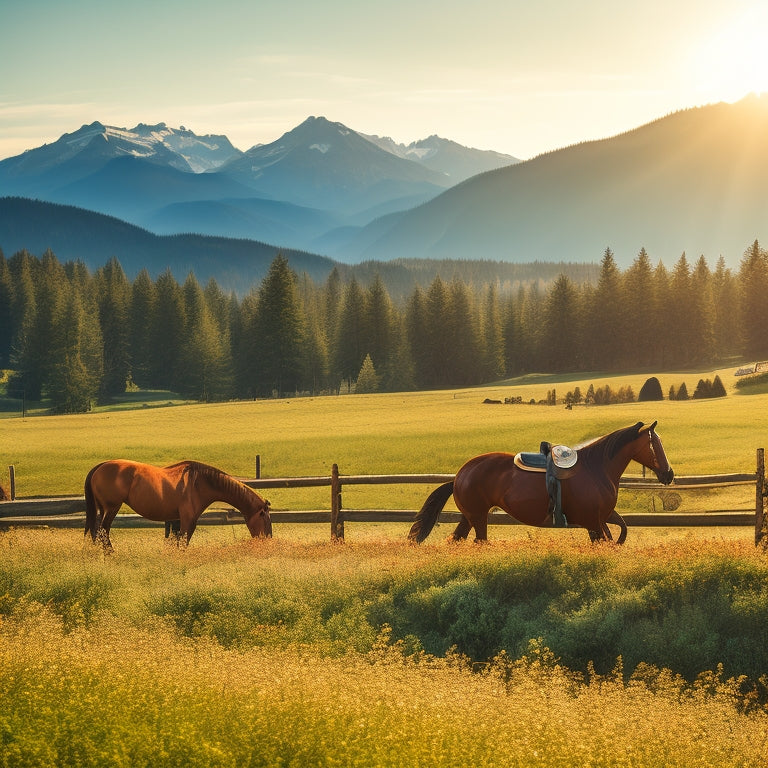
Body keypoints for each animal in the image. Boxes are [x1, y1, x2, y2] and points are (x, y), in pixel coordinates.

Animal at [83, 460, 270, 548]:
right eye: (265, 519)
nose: (267, 539)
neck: (200, 482)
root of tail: (100, 467)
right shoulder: (188, 520)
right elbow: (183, 542)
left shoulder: (177, 520)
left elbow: (175, 541)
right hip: (112, 508)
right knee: (103, 531)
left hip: (103, 509)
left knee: (97, 532)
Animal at [408, 420, 672, 544]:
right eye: (655, 445)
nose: (669, 474)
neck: (597, 469)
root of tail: (460, 475)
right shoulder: (593, 522)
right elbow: (606, 540)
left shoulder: (602, 517)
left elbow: (621, 532)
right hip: (479, 516)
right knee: (479, 541)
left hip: (470, 516)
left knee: (457, 540)